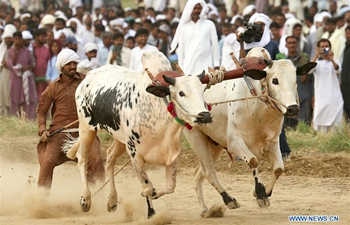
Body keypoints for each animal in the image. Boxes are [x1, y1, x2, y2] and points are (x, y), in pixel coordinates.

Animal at [62, 50, 211, 218]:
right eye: (181, 93)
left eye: (202, 91)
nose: (205, 115)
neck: (158, 109)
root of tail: (88, 76)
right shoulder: (135, 154)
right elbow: (148, 187)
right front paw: (151, 211)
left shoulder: (170, 154)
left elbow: (169, 187)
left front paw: (152, 200)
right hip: (86, 129)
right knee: (82, 159)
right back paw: (86, 200)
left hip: (119, 139)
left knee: (110, 158)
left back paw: (112, 200)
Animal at [183, 46, 318, 216]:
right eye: (275, 80)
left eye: (295, 80)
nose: (293, 108)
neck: (257, 107)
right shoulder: (234, 143)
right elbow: (253, 161)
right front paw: (260, 194)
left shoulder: (273, 143)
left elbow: (279, 168)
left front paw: (265, 192)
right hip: (196, 139)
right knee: (209, 172)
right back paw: (229, 200)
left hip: (214, 144)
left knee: (199, 173)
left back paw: (204, 209)